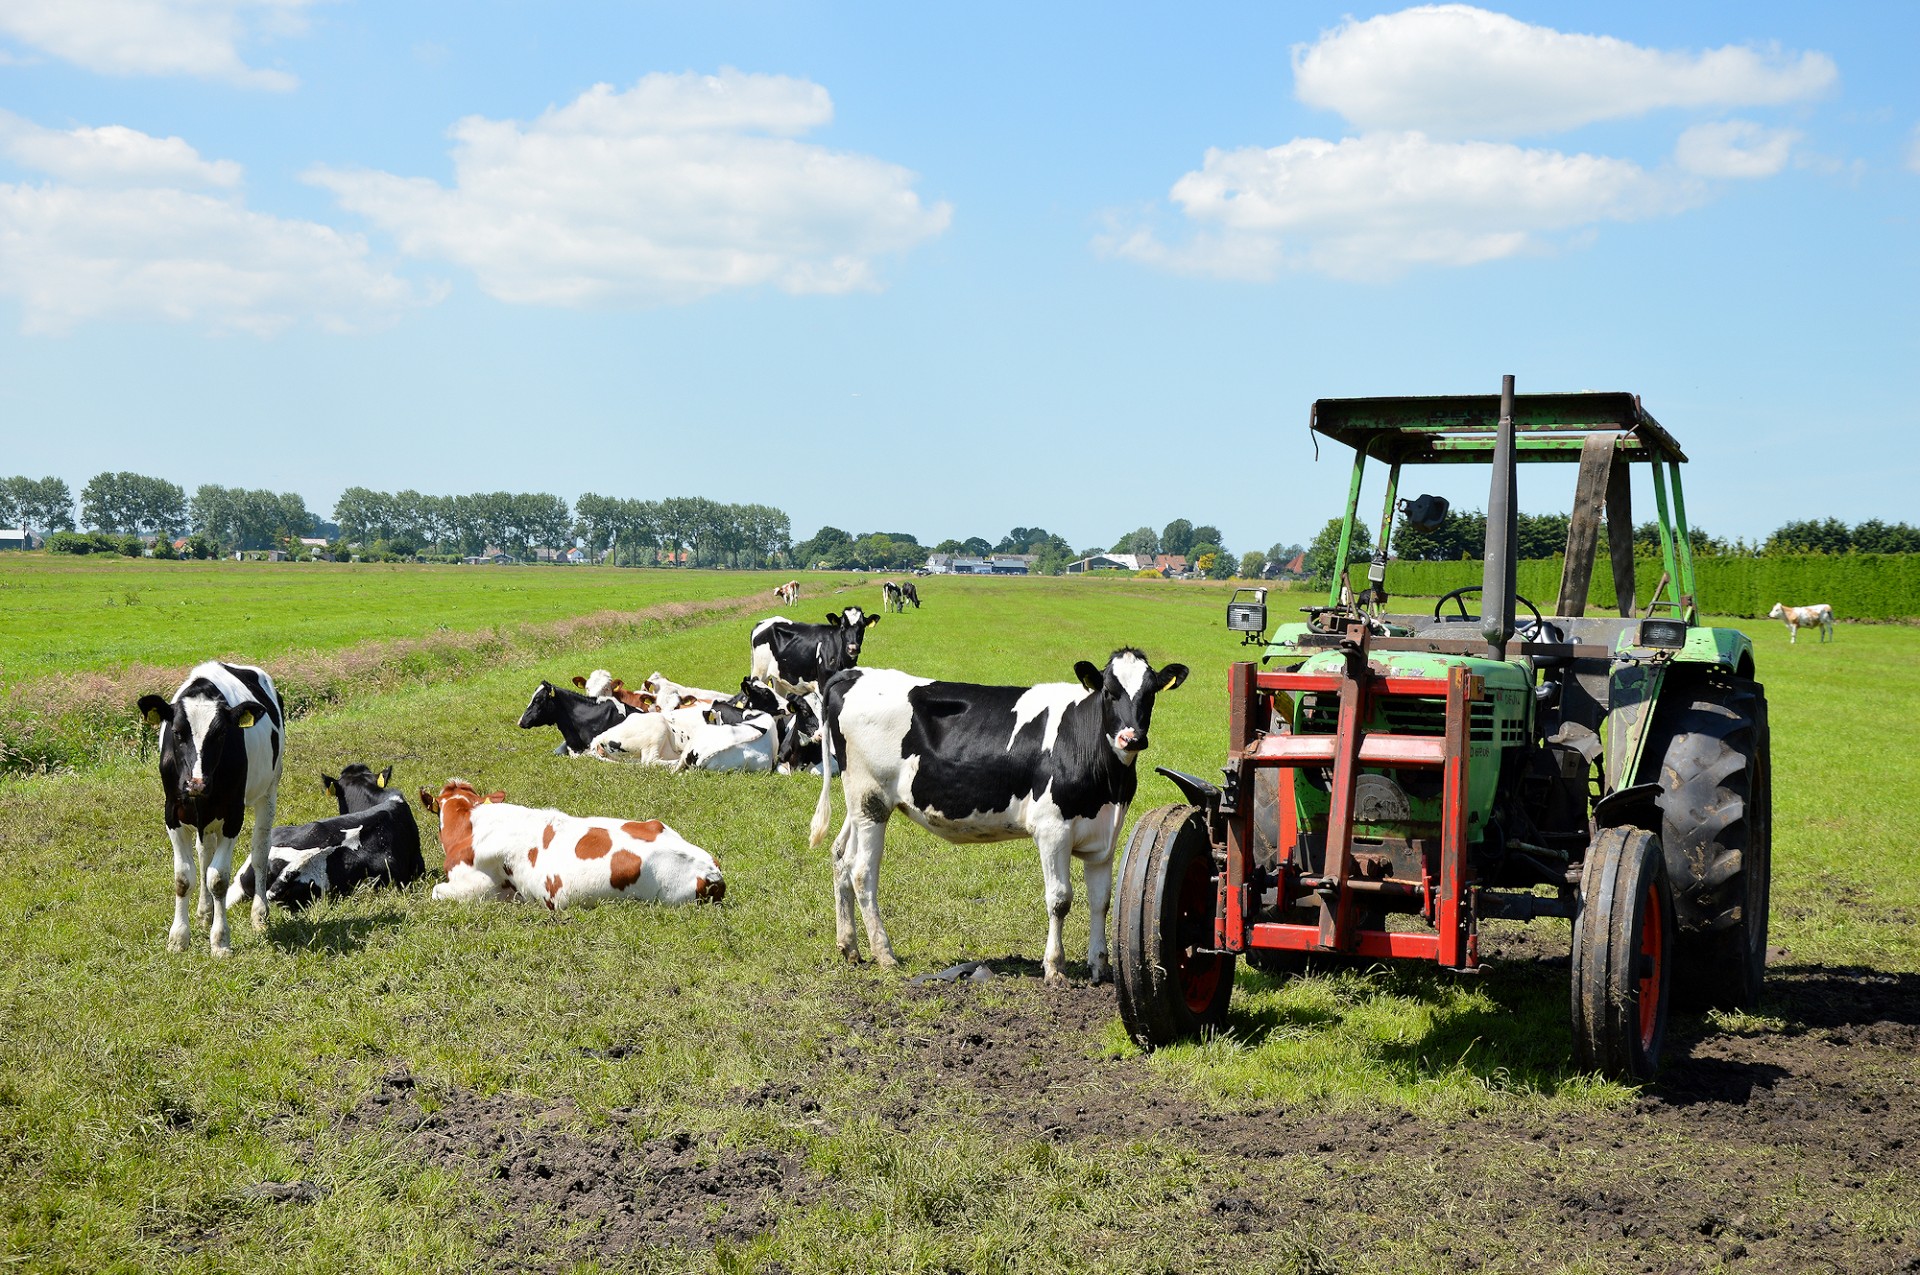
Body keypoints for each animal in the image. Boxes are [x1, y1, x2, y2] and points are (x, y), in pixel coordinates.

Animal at [136, 660, 284, 952]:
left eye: (221, 734)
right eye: (177, 732)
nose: (196, 783)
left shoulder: (233, 815)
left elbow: (219, 879)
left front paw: (220, 940)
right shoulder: (172, 813)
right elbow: (184, 877)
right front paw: (179, 937)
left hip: (268, 791)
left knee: (260, 852)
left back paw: (259, 915)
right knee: (204, 854)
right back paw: (205, 913)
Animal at [744, 610, 879, 698]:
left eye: (862, 627)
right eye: (842, 627)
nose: (852, 648)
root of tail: (763, 623)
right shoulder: (822, 687)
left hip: (779, 678)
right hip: (760, 673)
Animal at [798, 649, 1182, 983]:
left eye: (1149, 694)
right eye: (1109, 691)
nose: (1131, 737)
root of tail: (855, 673)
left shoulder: (1103, 837)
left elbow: (1101, 901)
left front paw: (1100, 966)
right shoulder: (1052, 829)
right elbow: (1059, 900)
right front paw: (1055, 968)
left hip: (858, 803)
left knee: (840, 857)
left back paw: (850, 947)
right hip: (872, 799)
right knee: (862, 873)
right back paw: (884, 954)